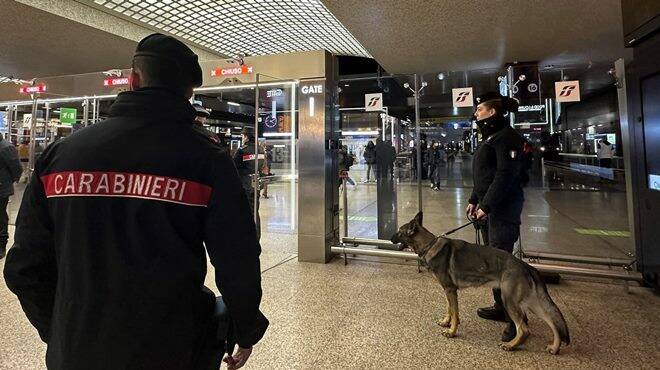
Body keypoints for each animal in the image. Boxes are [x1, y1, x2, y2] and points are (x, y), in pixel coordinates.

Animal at [390, 212, 568, 354]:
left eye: (399, 231)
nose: (390, 238)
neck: (429, 245)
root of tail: (525, 265)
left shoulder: (450, 290)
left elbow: (455, 312)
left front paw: (452, 331)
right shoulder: (448, 290)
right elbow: (450, 309)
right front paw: (446, 322)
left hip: (510, 301)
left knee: (524, 329)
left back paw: (511, 345)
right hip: (531, 303)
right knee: (552, 322)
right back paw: (554, 347)